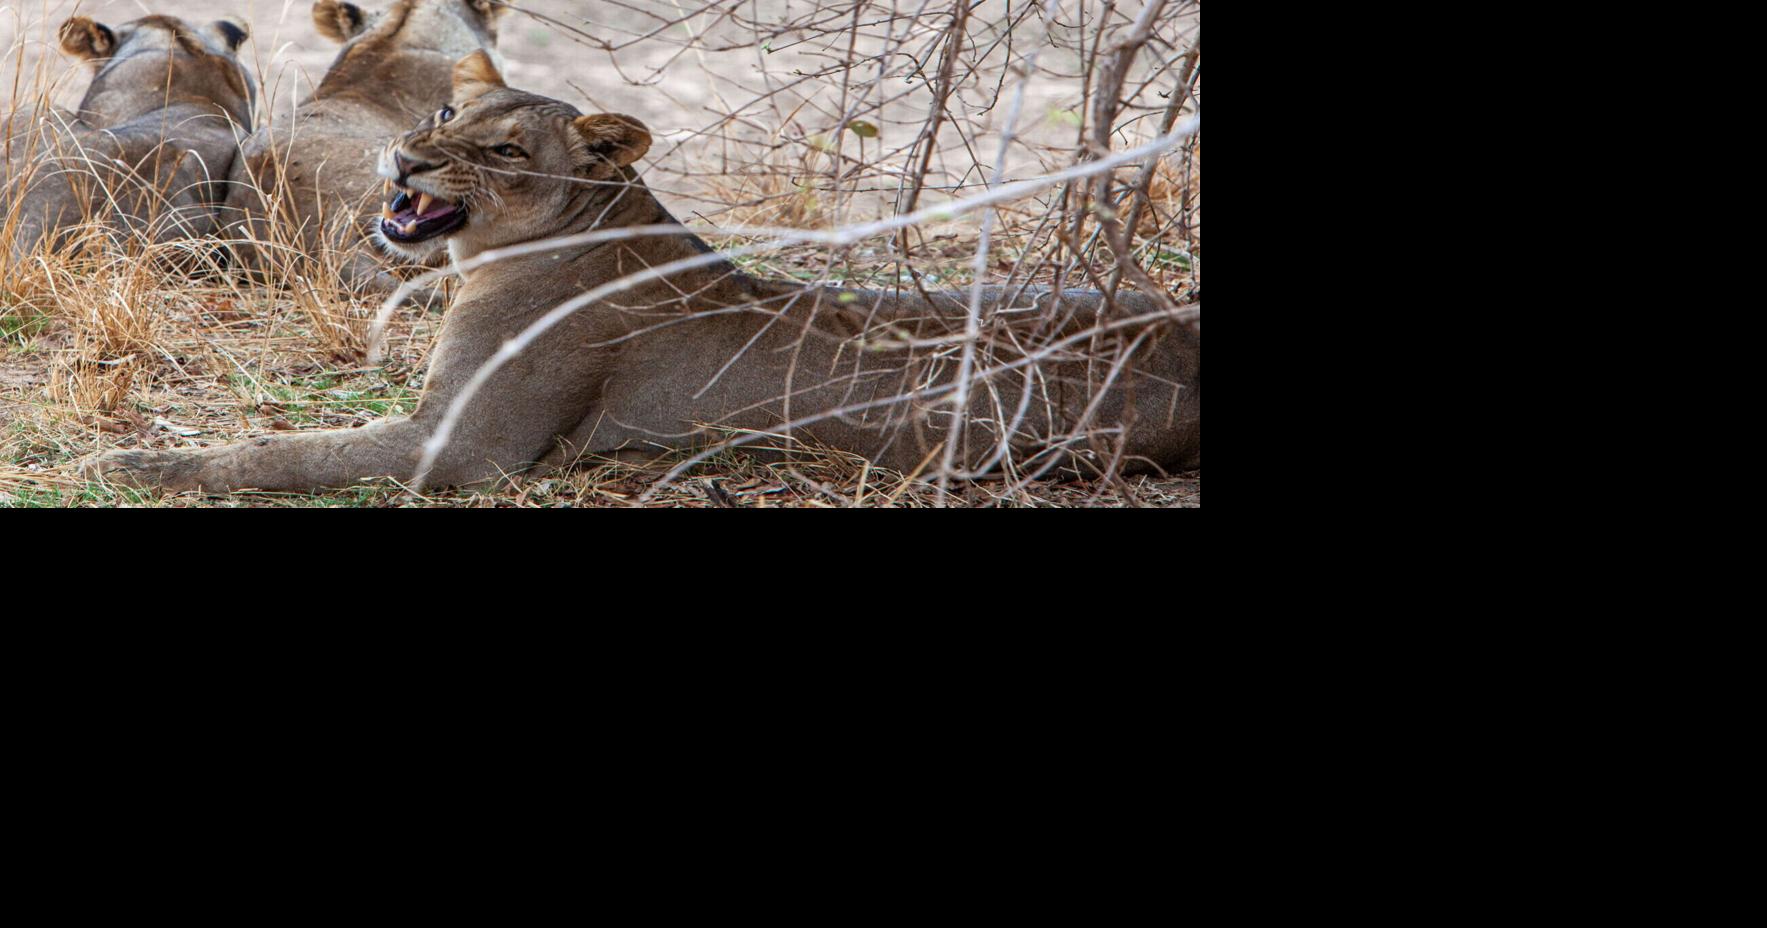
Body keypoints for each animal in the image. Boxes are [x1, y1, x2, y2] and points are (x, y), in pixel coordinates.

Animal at [87, 53, 1200, 494]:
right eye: (446, 114)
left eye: (504, 151)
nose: (406, 161)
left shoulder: (464, 448)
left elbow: (279, 452)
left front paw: (136, 465)